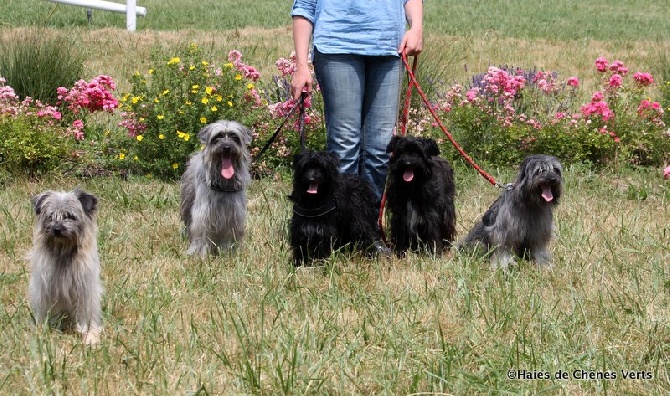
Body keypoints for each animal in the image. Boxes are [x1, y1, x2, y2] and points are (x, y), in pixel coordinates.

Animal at [28, 189, 103, 344]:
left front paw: (90, 335)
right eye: (51, 216)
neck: (63, 249)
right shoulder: (46, 289)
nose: (57, 229)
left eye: (70, 216)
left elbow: (88, 313)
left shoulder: (85, 290)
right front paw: (44, 330)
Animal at [180, 120, 253, 256]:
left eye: (234, 137)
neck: (223, 184)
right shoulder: (203, 213)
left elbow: (229, 235)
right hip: (187, 203)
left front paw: (227, 252)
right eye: (218, 136)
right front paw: (199, 253)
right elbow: (201, 232)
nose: (227, 147)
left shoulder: (233, 215)